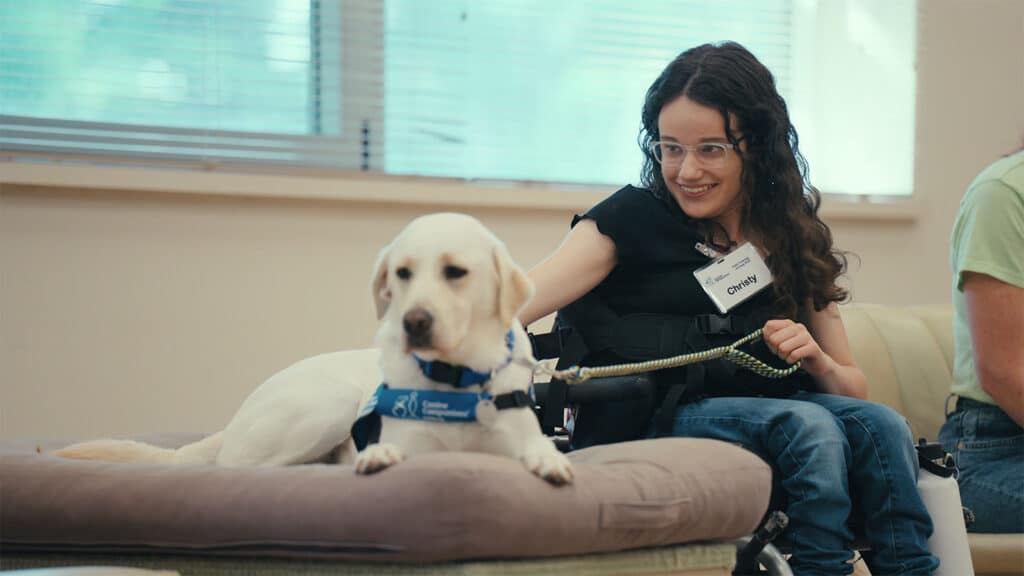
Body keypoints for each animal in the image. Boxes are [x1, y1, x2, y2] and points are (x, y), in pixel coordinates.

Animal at [51, 213, 573, 481]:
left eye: (455, 272)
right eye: (402, 273)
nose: (414, 321)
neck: (454, 377)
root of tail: (233, 420)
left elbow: (537, 447)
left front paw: (549, 460)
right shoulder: (415, 446)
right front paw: (376, 456)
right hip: (329, 405)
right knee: (240, 468)